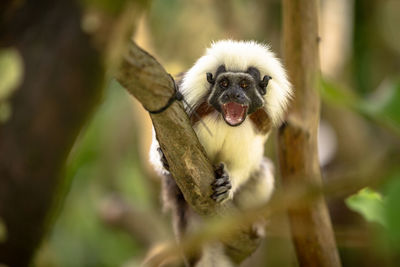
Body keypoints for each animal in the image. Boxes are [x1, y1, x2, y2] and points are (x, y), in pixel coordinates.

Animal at [148, 39, 292, 267]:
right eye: (224, 84)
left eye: (244, 85)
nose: (233, 94)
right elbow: (160, 142)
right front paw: (162, 157)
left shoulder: (258, 123)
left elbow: (247, 162)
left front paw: (228, 182)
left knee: (262, 172)